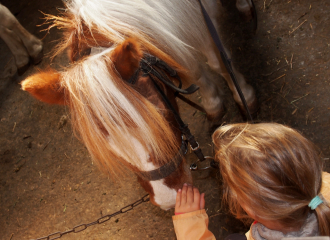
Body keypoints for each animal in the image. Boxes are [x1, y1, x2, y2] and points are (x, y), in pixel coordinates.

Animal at [20, 0, 258, 210]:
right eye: (107, 143)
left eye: (162, 114)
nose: (168, 199)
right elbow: (194, 72)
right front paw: (213, 105)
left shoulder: (202, 19)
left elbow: (218, 62)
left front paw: (243, 96)